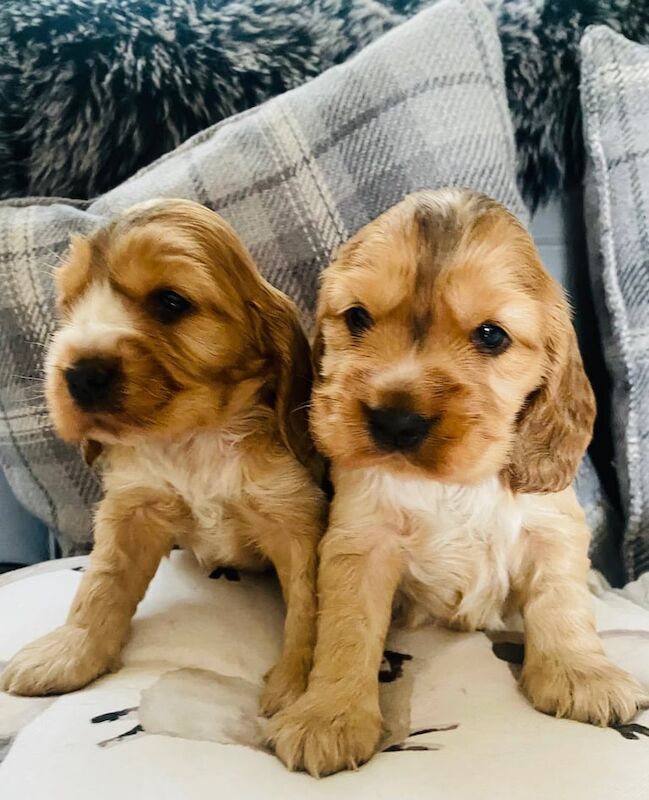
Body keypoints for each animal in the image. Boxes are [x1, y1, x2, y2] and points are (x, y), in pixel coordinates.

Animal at [0, 197, 324, 716]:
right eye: (68, 307)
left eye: (171, 302)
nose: (80, 373)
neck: (193, 440)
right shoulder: (130, 508)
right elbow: (102, 582)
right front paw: (70, 651)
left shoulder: (294, 516)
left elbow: (308, 603)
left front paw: (301, 687)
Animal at [268, 188, 648, 776]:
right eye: (357, 317)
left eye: (491, 335)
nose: (396, 421)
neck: (454, 484)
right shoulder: (361, 542)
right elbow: (347, 629)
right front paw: (329, 714)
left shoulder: (552, 526)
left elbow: (562, 602)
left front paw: (581, 673)